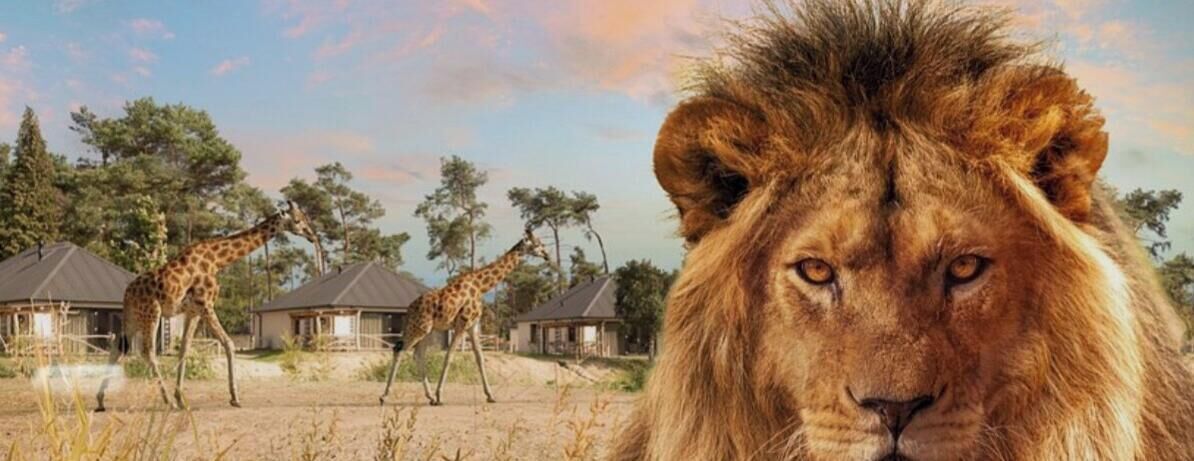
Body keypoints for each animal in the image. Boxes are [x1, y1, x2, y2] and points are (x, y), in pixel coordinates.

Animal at [96, 201, 320, 411]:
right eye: (297, 220)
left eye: (305, 218)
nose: (312, 236)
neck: (218, 260)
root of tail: (127, 293)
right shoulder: (207, 304)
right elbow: (229, 343)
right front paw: (235, 398)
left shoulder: (193, 311)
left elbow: (184, 349)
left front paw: (182, 398)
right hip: (152, 312)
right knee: (147, 351)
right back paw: (167, 402)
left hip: (133, 316)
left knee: (118, 348)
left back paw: (101, 401)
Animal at [379, 228, 552, 406]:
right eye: (538, 243)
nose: (546, 254)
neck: (481, 286)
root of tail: (409, 309)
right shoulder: (462, 324)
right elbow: (449, 356)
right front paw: (440, 396)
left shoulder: (473, 325)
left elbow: (480, 358)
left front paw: (490, 396)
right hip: (420, 327)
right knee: (399, 350)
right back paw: (385, 396)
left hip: (427, 331)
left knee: (417, 354)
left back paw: (429, 397)